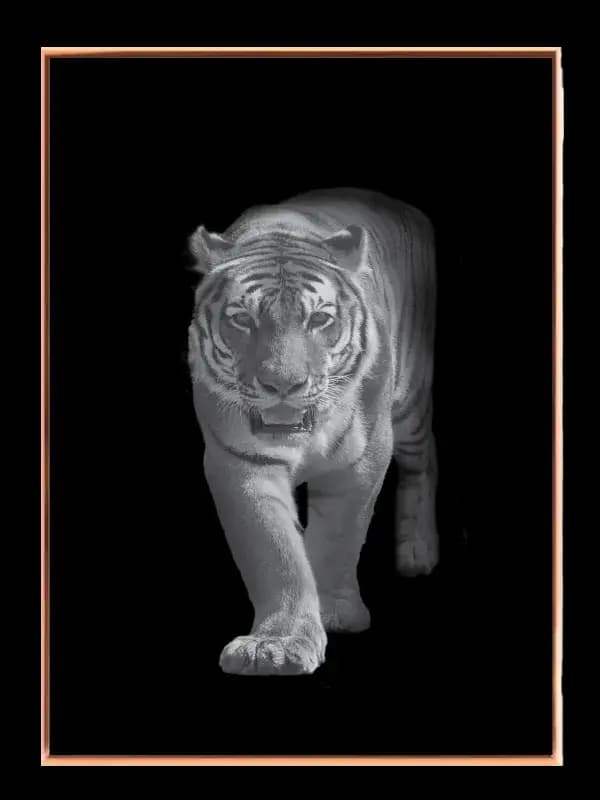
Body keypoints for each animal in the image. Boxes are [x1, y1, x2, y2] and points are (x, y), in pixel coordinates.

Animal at [187, 187, 438, 676]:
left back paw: (419, 553)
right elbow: (275, 550)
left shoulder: (364, 455)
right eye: (242, 320)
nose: (283, 385)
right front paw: (276, 644)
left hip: (411, 405)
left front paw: (334, 613)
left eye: (319, 320)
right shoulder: (239, 461)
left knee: (427, 459)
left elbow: (340, 535)